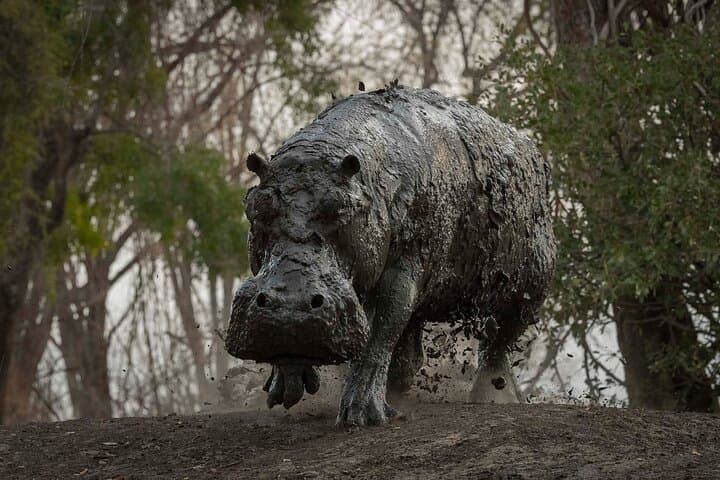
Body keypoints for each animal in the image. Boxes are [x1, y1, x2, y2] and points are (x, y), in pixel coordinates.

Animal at [225, 86, 556, 426]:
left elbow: (381, 330)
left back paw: (493, 397)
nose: (289, 307)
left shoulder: (403, 270)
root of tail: (531, 149)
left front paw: (361, 415)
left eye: (341, 208)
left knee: (498, 341)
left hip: (529, 286)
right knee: (418, 346)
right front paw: (286, 383)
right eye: (257, 206)